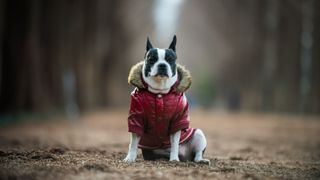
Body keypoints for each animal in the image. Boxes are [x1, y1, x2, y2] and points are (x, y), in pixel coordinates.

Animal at [124, 35, 209, 165]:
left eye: (170, 59)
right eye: (152, 59)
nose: (162, 65)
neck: (160, 91)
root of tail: (185, 156)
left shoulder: (178, 119)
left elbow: (174, 143)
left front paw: (174, 159)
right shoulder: (136, 118)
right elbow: (133, 143)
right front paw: (130, 158)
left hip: (199, 134)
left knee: (197, 154)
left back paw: (200, 160)